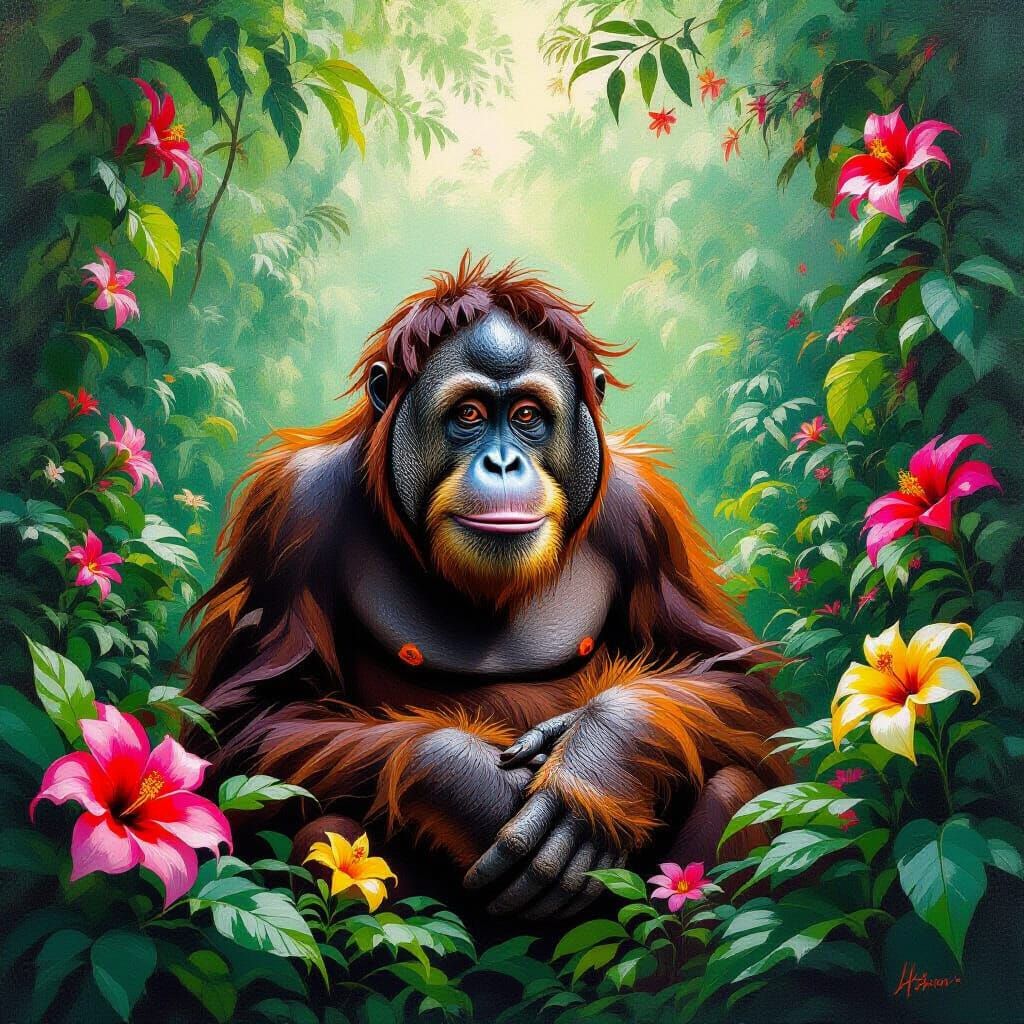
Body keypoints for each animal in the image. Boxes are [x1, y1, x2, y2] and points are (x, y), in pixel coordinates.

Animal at [184, 252, 792, 922]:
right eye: (469, 415)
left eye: (526, 416)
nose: (503, 463)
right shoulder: (293, 511)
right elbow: (243, 727)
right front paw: (472, 783)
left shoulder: (645, 513)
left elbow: (738, 683)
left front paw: (598, 758)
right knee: (327, 830)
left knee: (734, 788)